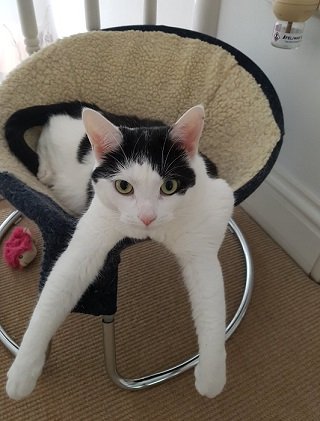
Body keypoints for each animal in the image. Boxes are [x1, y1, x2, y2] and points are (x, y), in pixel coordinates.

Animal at [5, 102, 234, 400]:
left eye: (169, 186)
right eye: (123, 186)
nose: (147, 217)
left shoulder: (208, 226)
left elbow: (212, 307)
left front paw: (211, 375)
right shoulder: (90, 234)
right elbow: (53, 296)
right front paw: (23, 372)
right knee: (48, 132)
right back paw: (44, 168)